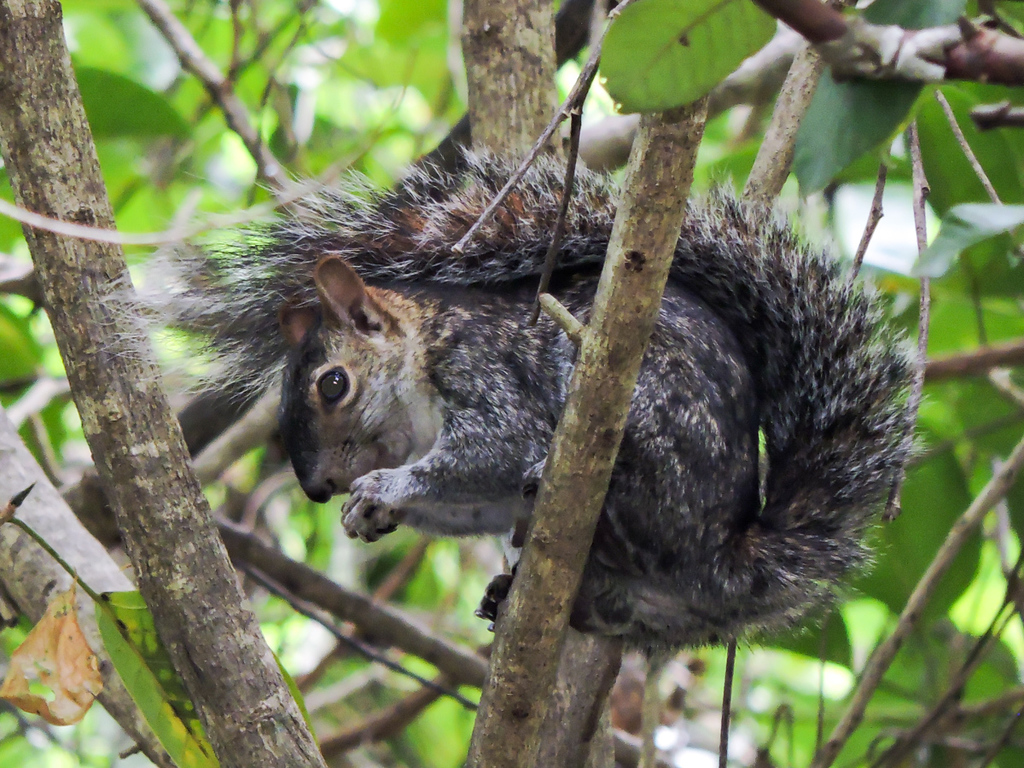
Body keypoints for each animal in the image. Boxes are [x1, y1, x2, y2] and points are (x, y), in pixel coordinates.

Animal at [158, 153, 913, 649]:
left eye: (333, 384)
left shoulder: (486, 375)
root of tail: (724, 560)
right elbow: (474, 503)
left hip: (661, 430)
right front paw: (372, 513)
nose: (318, 488)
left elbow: (491, 453)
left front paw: (383, 489)